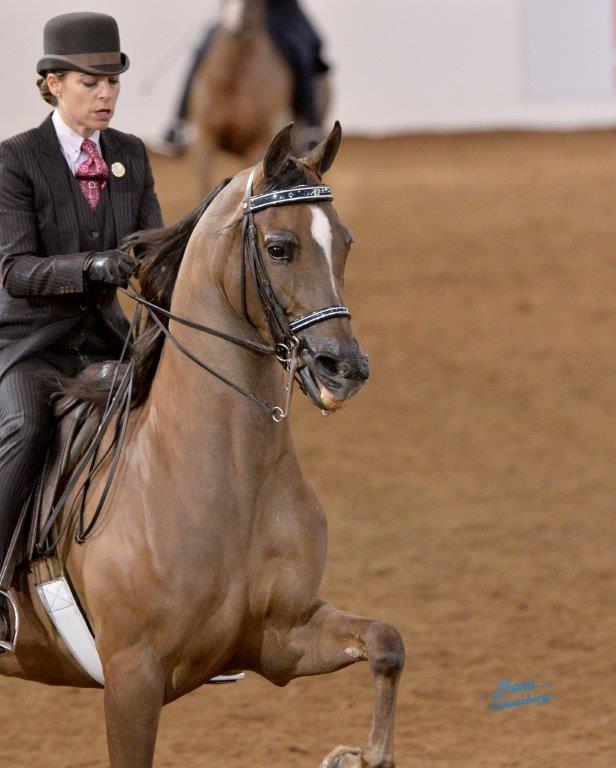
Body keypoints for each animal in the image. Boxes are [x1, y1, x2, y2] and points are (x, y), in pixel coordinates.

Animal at [0, 122, 405, 768]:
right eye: (280, 247)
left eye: (344, 242)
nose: (345, 368)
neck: (227, 475)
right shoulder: (132, 678)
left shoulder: (283, 637)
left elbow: (386, 642)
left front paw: (359, 755)